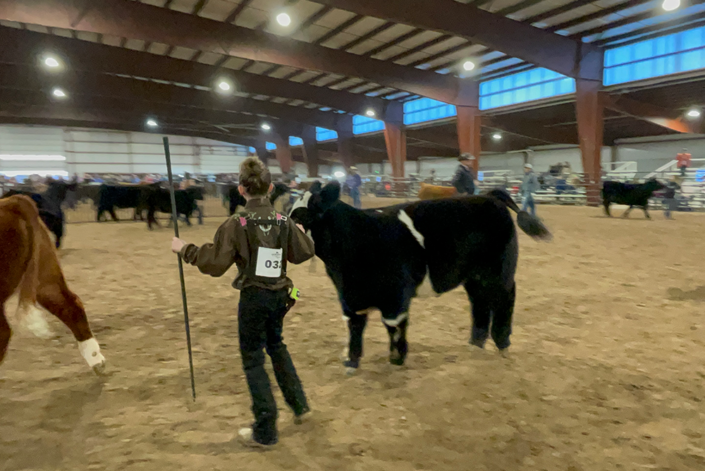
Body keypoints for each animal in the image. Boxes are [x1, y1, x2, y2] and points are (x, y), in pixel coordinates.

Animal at [290, 182, 551, 374]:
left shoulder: (395, 297)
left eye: (302, 216)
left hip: (499, 272)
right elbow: (355, 327)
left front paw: (397, 359)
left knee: (505, 300)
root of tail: (488, 196)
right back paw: (476, 344)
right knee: (480, 304)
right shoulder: (350, 298)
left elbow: (394, 327)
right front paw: (351, 362)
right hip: (474, 277)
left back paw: (502, 344)